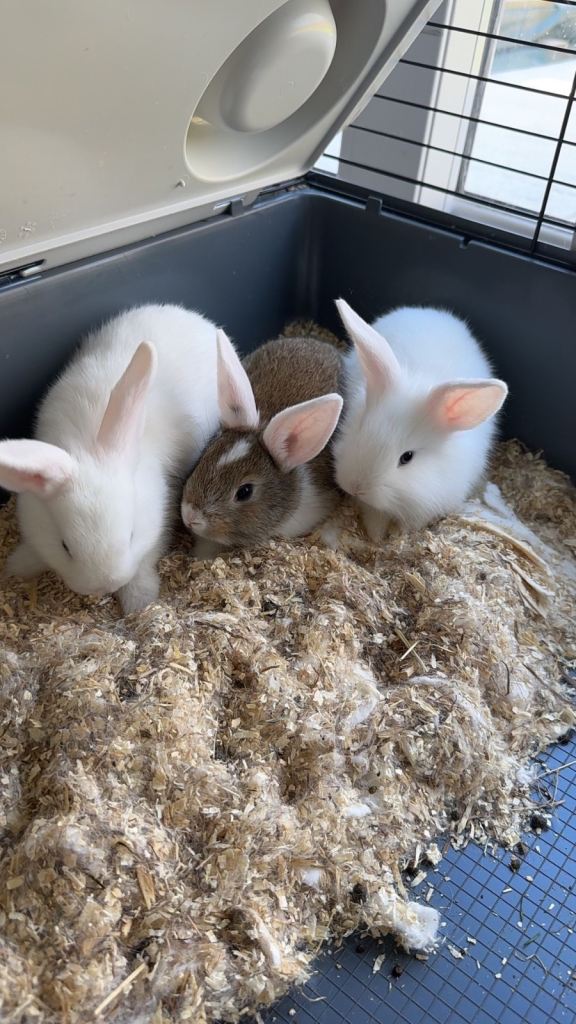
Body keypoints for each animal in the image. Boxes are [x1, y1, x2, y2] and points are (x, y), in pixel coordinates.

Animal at [0, 304, 223, 612]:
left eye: (131, 535)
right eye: (65, 546)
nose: (104, 586)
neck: (86, 443)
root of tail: (194, 317)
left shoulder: (157, 523)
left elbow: (145, 561)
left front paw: (139, 600)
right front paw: (18, 565)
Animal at [333, 300, 508, 539]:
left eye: (407, 457)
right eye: (359, 428)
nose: (356, 487)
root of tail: (428, 311)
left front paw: (398, 536)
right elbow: (374, 518)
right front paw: (376, 538)